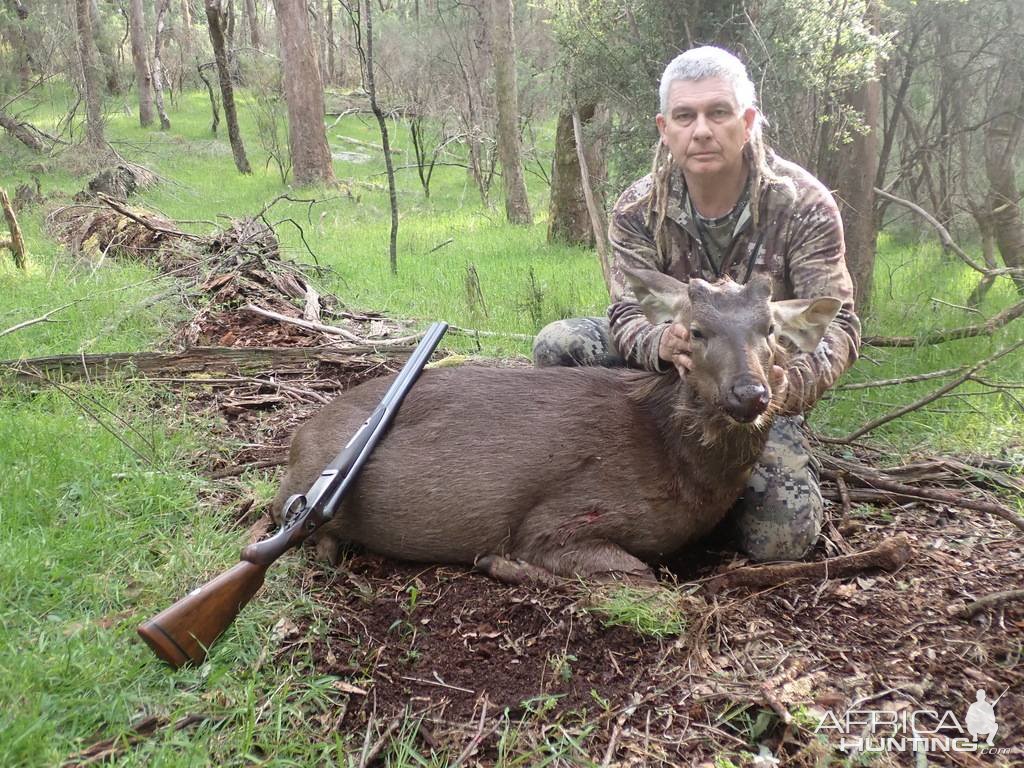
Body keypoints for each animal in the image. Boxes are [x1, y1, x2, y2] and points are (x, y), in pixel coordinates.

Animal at [272, 270, 839, 581]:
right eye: (695, 331)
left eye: (771, 330)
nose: (750, 394)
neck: (677, 467)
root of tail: (296, 439)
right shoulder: (562, 515)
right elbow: (642, 575)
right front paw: (500, 565)